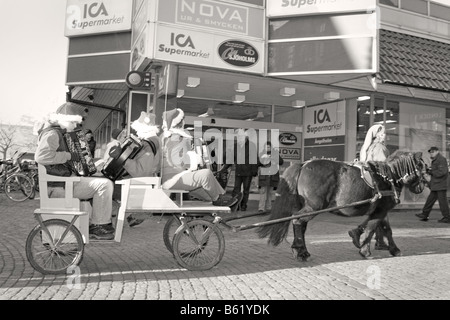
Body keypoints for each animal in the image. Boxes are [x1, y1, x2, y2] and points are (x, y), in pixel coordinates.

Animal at [258, 150, 428, 260]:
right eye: (422, 167)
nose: (423, 186)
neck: (388, 177)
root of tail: (303, 164)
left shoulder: (381, 210)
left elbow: (383, 229)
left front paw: (389, 247)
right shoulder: (381, 209)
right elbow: (372, 227)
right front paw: (365, 249)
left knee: (300, 225)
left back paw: (301, 250)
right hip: (313, 207)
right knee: (297, 221)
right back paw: (299, 249)